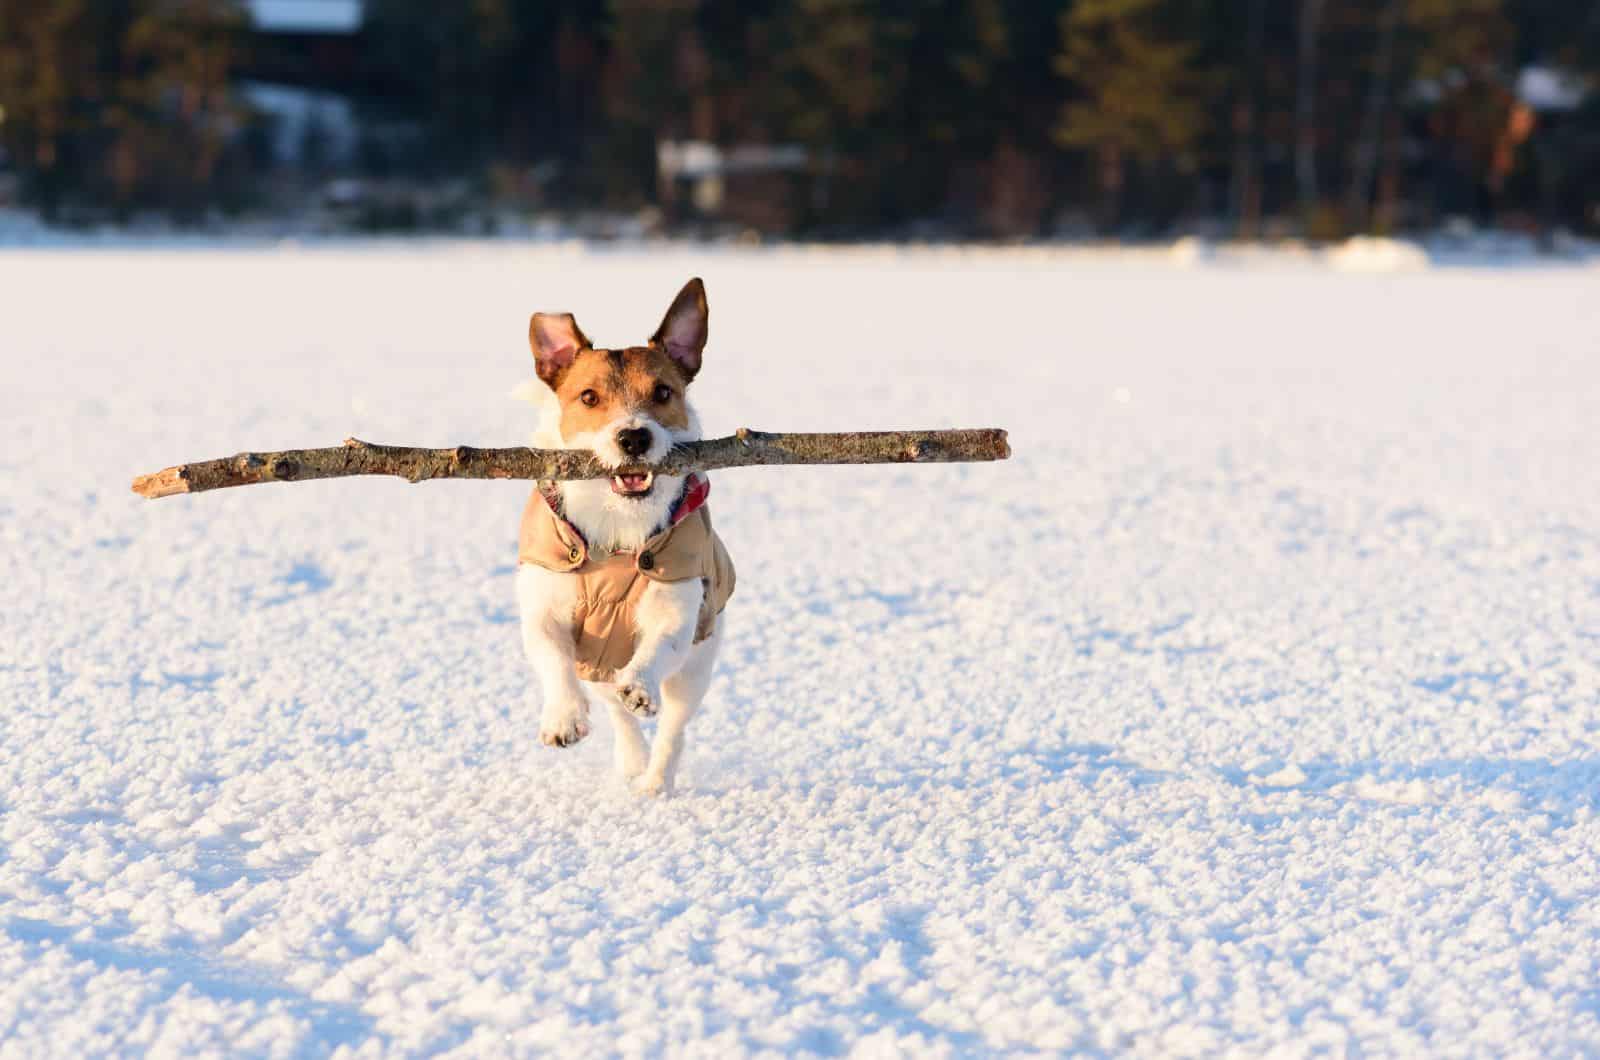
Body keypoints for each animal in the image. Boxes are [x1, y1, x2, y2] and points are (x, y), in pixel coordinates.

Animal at [515, 278, 732, 794]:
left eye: (663, 392)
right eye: (589, 398)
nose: (634, 438)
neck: (617, 528)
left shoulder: (677, 604)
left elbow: (659, 646)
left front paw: (640, 685)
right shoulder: (543, 606)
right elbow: (551, 656)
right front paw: (563, 718)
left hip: (698, 664)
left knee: (673, 724)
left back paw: (655, 783)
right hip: (596, 664)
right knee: (616, 713)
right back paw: (631, 759)